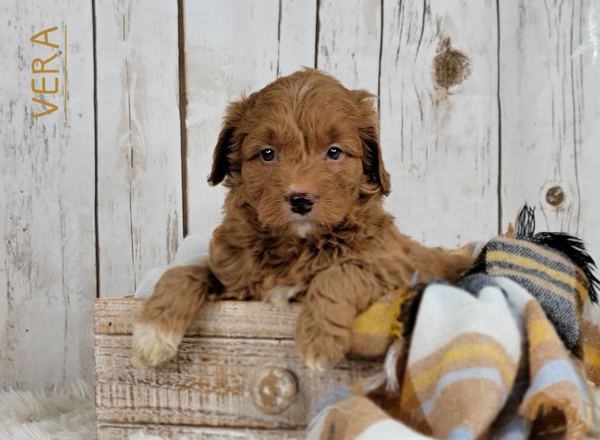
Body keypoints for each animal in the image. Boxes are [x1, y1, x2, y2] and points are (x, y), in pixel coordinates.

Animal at [131, 69, 474, 372]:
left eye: (334, 152)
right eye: (268, 154)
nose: (300, 199)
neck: (297, 245)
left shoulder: (393, 264)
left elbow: (342, 271)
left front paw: (318, 339)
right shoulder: (235, 278)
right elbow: (186, 271)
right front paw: (153, 332)